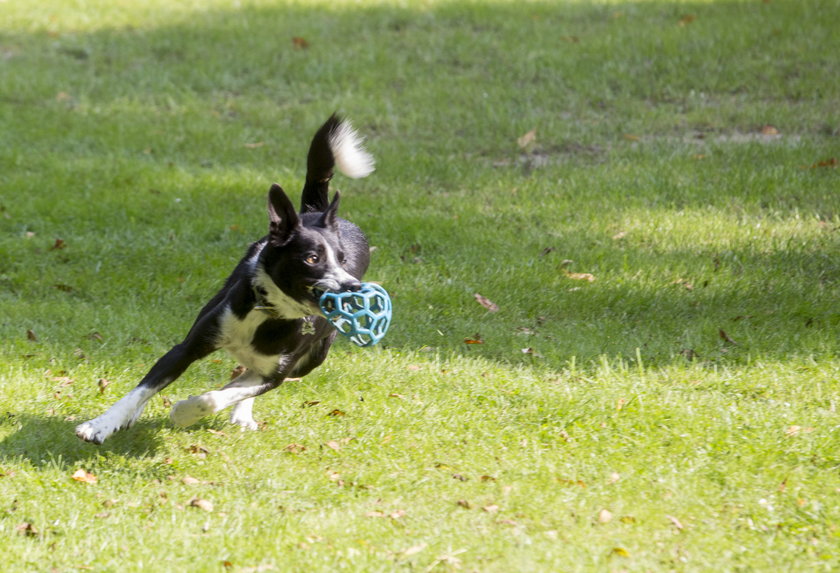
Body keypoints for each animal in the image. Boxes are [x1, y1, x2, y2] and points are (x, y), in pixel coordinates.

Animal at [75, 114, 378, 444]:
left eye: (342, 259)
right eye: (312, 258)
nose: (352, 287)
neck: (268, 311)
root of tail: (316, 211)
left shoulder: (275, 375)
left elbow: (219, 396)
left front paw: (185, 411)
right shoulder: (187, 347)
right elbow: (142, 389)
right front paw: (102, 424)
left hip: (311, 360)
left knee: (242, 380)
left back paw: (238, 413)